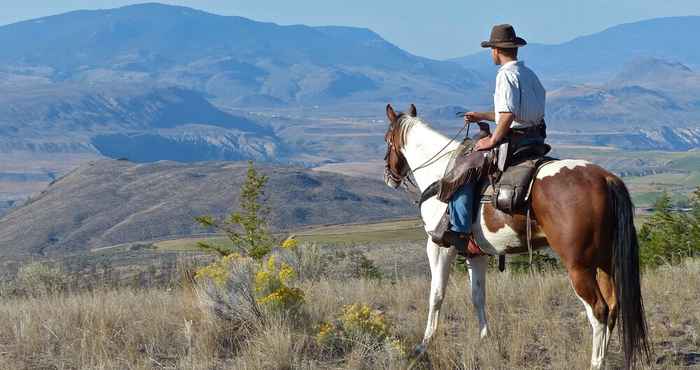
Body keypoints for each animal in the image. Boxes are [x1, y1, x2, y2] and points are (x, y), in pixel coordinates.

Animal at [382, 104, 652, 370]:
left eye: (387, 140)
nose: (389, 177)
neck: (439, 172)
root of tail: (606, 178)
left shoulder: (439, 246)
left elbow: (436, 295)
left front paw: (422, 346)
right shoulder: (475, 254)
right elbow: (478, 296)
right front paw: (486, 339)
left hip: (579, 266)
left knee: (599, 311)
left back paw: (596, 362)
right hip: (605, 261)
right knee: (613, 306)